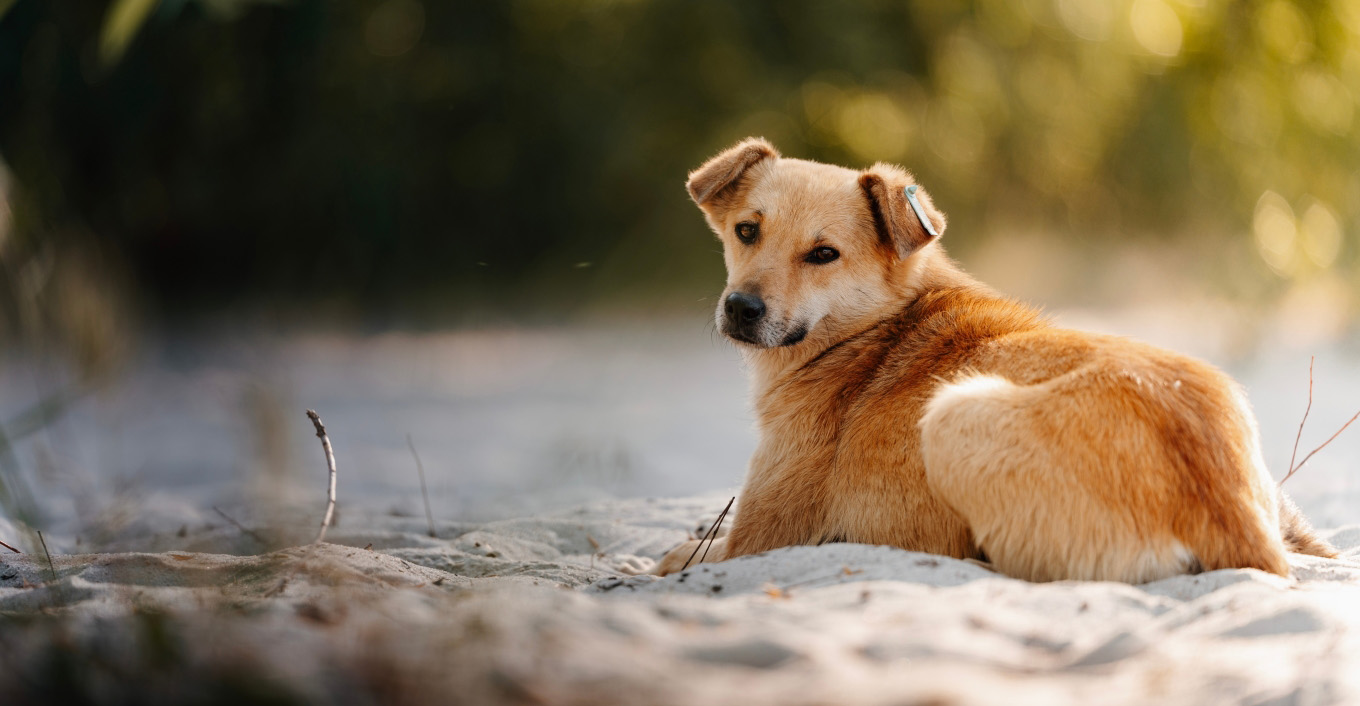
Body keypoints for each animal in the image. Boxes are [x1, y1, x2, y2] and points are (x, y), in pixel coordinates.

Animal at [658, 138, 1338, 584]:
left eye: (824, 254)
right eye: (747, 231)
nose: (741, 308)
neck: (876, 327)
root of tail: (1226, 511)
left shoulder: (756, 540)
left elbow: (676, 555)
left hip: (953, 415)